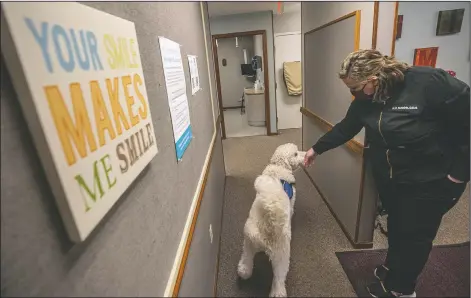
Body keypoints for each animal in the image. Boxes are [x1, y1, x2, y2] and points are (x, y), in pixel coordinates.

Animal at [236, 143, 306, 296]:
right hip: (282, 255)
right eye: (296, 153)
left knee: (246, 257)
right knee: (279, 277)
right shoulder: (292, 201)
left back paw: (244, 271)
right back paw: (278, 292)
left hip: (248, 241)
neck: (279, 167)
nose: (305, 154)